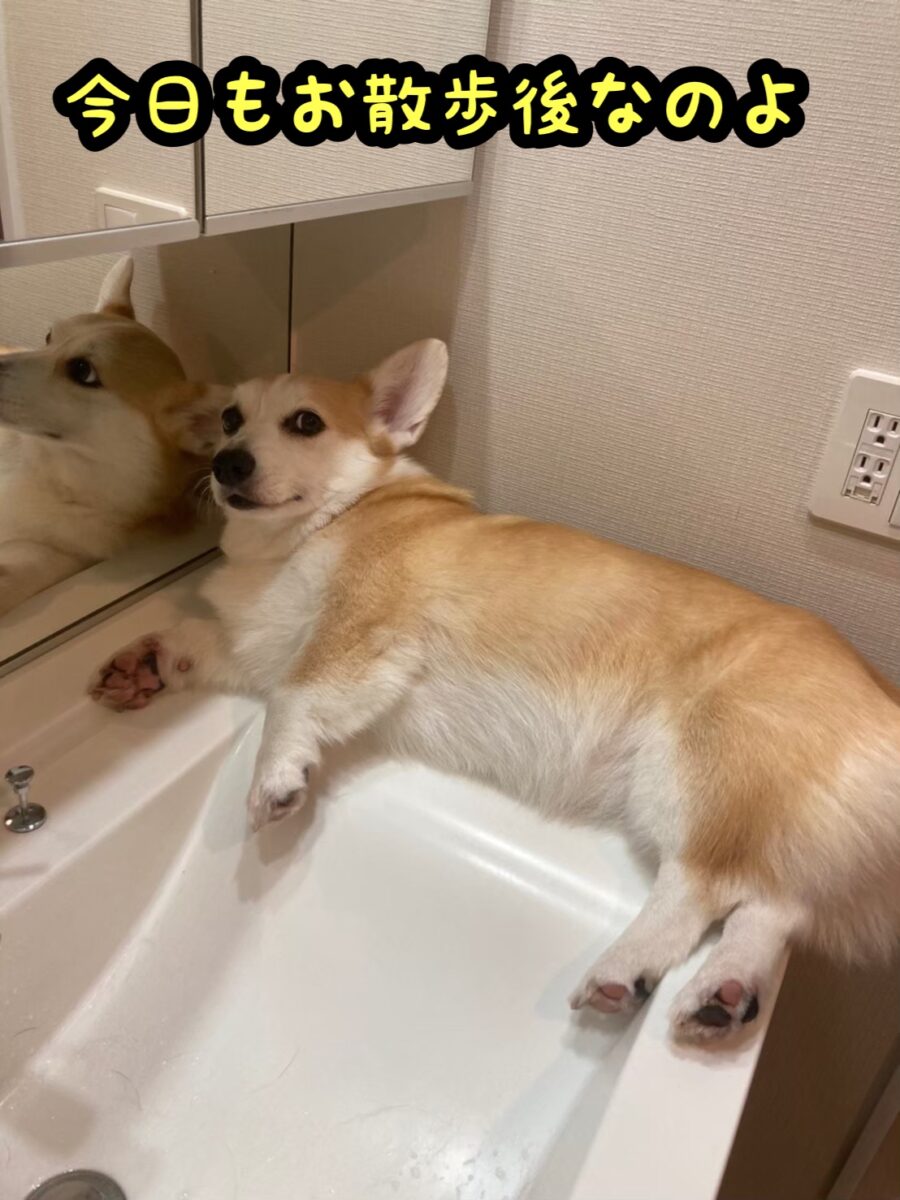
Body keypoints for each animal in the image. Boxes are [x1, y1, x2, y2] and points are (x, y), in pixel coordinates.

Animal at [89, 339, 900, 1041]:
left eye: (306, 422)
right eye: (231, 418)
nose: (227, 463)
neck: (306, 533)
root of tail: (882, 702)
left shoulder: (358, 634)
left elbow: (293, 699)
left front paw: (274, 781)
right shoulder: (258, 646)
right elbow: (198, 646)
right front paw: (139, 664)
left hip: (693, 770)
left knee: (704, 886)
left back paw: (625, 968)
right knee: (773, 906)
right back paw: (725, 993)